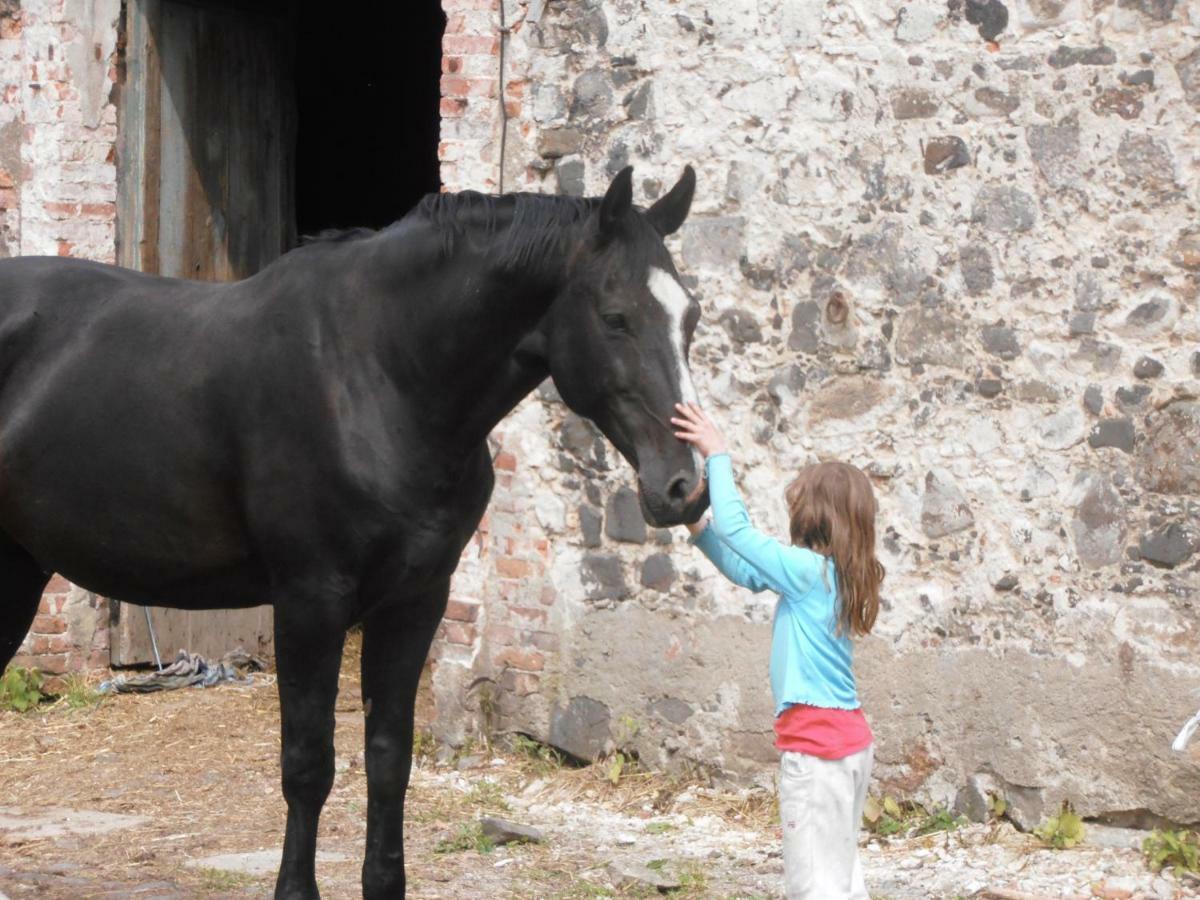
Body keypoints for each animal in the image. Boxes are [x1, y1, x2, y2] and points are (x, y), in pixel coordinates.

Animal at [0, 168, 705, 897]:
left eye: (692, 317)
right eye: (615, 316)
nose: (684, 486)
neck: (379, 373)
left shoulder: (416, 600)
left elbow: (389, 759)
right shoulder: (310, 601)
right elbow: (308, 764)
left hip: (16, 567)